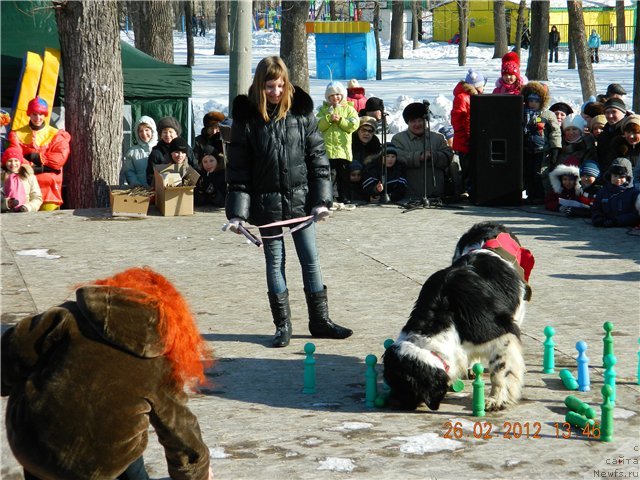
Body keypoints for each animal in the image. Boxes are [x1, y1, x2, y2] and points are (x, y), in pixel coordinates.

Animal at [384, 222, 536, 412]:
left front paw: (496, 399)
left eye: (404, 384)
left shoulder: (503, 332)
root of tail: (490, 224)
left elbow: (500, 370)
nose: (392, 402)